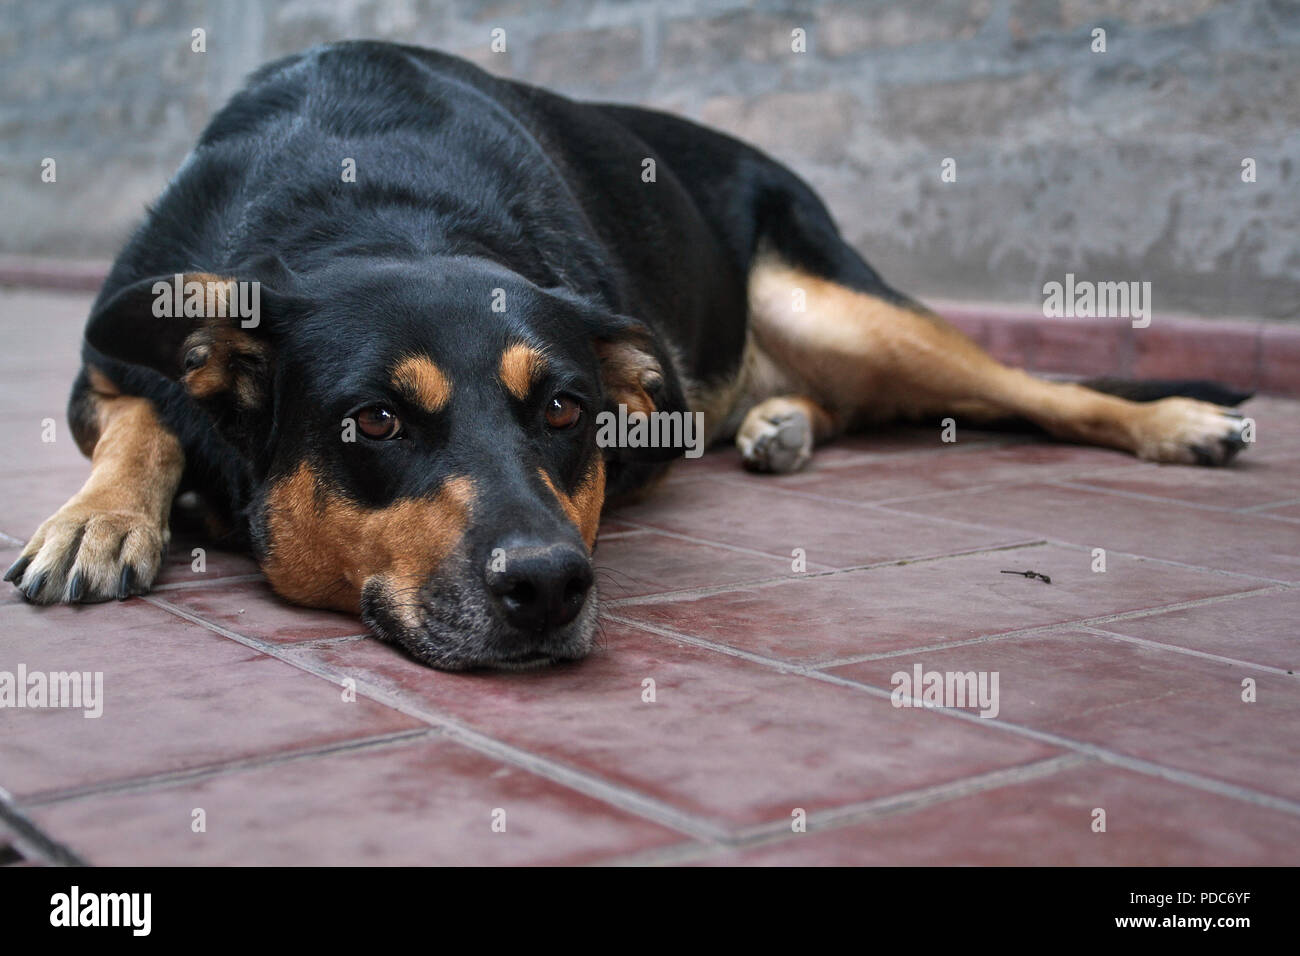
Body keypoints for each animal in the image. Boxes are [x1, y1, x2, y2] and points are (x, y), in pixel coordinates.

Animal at [5, 41, 1253, 671]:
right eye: (375, 422)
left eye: (565, 411)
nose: (549, 586)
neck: (383, 209)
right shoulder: (108, 360)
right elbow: (146, 412)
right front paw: (100, 515)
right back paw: (776, 422)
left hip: (834, 303)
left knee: (1028, 386)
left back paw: (1177, 422)